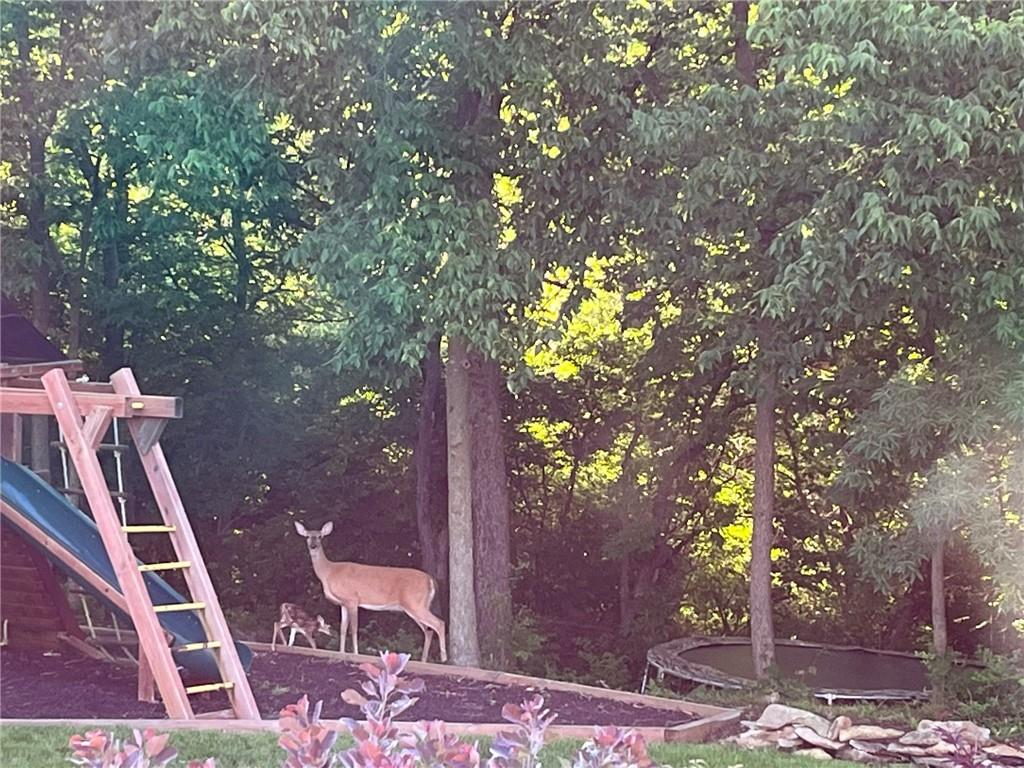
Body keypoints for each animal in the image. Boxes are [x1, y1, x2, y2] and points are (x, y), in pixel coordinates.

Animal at [290, 520, 446, 663]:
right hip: (417, 605)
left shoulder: (352, 599)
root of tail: (430, 579)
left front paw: (356, 654)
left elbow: (353, 629)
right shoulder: (343, 604)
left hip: (414, 603)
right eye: (307, 536)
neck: (329, 572)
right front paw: (341, 653)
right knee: (428, 630)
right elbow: (342, 629)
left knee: (439, 623)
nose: (313, 546)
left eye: (320, 536)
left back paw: (444, 658)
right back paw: (424, 660)